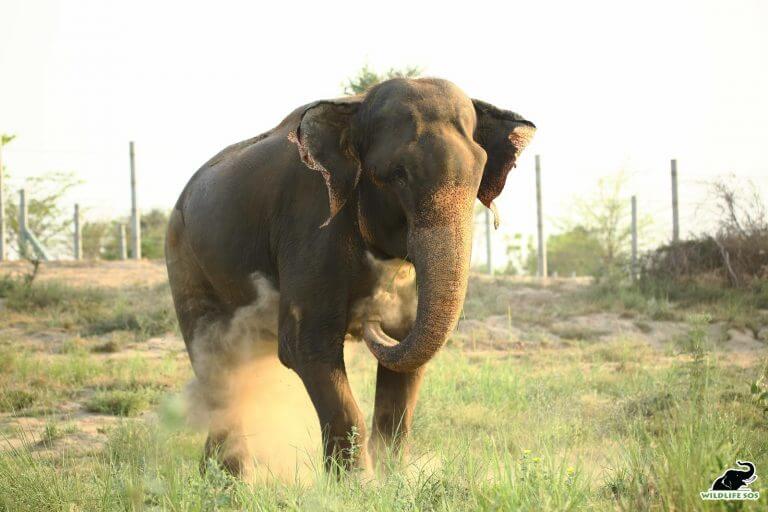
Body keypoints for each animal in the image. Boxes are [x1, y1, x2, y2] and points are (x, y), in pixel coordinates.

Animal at [164, 78, 536, 474]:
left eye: (479, 174)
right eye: (398, 174)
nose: (371, 321)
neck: (355, 108)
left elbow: (406, 347)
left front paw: (393, 476)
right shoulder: (309, 222)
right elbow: (307, 345)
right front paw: (357, 482)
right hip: (183, 259)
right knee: (215, 357)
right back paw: (231, 477)